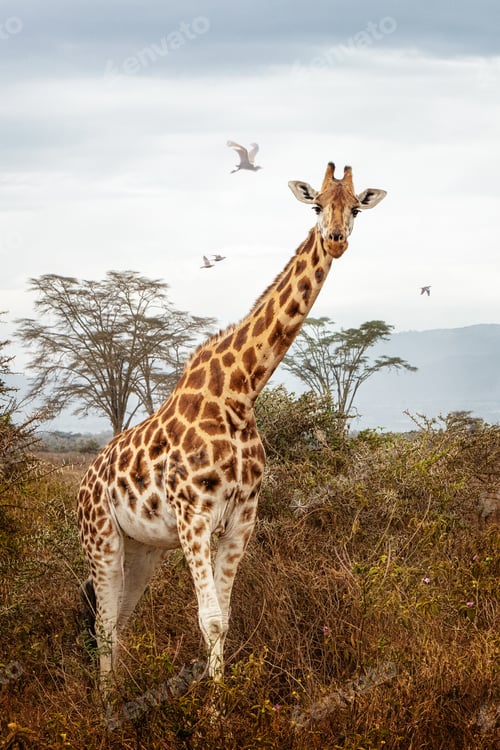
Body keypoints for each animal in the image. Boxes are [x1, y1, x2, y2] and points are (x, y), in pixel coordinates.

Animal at [77, 162, 386, 686]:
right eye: (316, 205)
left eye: (357, 208)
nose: (336, 239)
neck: (240, 393)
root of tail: (82, 483)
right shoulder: (194, 516)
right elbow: (210, 619)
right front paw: (213, 704)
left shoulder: (243, 515)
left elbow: (225, 616)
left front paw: (221, 696)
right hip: (100, 537)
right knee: (102, 621)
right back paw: (103, 703)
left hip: (142, 548)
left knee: (120, 619)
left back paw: (117, 694)